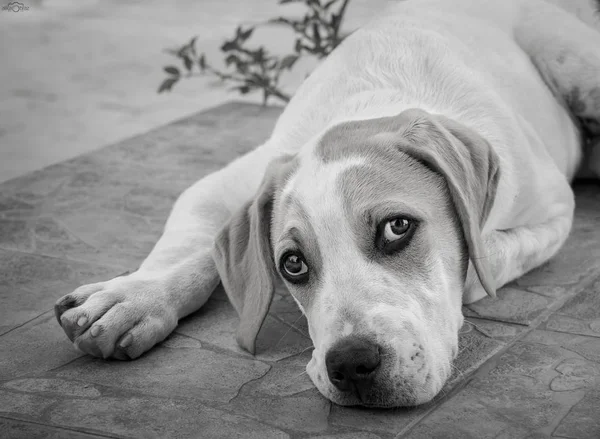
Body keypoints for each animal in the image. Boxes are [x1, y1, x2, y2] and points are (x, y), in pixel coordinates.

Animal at [56, 0, 600, 410]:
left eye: (398, 228)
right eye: (292, 264)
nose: (352, 364)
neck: (371, 104)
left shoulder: (553, 210)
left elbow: (477, 266)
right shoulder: (232, 180)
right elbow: (192, 239)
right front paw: (134, 298)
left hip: (574, 63)